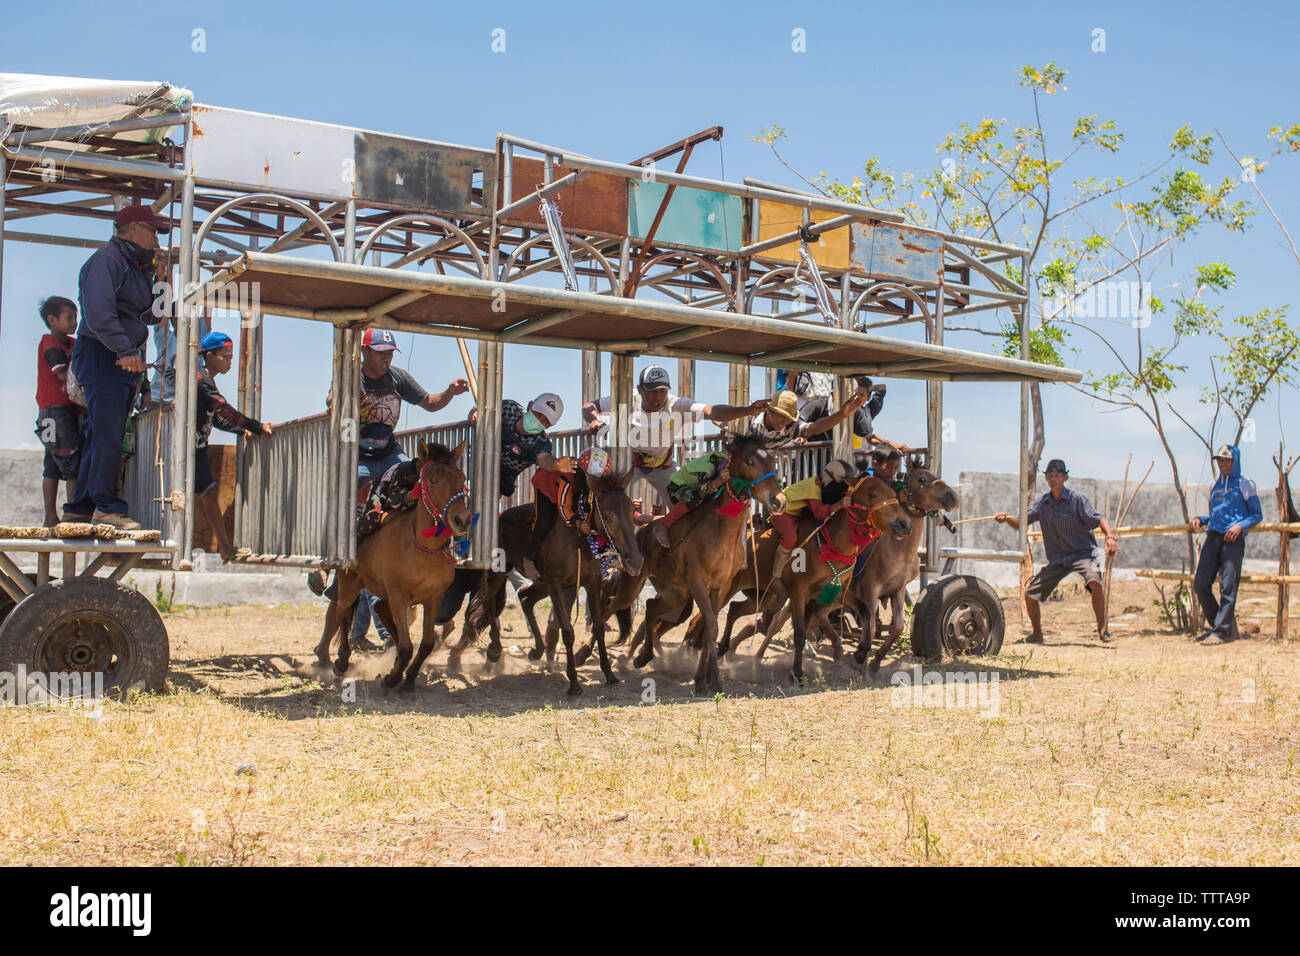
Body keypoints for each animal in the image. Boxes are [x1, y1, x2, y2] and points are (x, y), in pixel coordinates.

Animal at [314, 442, 473, 686]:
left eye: (462, 477)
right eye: (432, 480)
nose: (461, 520)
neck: (422, 548)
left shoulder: (433, 599)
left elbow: (426, 644)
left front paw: (408, 678)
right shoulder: (399, 596)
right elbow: (407, 646)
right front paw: (392, 678)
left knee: (378, 608)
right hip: (350, 584)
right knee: (342, 611)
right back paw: (340, 661)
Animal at [629, 434, 780, 697]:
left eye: (771, 460)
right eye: (749, 461)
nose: (778, 499)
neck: (722, 530)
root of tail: (645, 529)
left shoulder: (721, 585)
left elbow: (710, 625)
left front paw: (703, 678)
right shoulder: (698, 582)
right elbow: (710, 625)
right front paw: (712, 680)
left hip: (675, 594)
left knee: (651, 607)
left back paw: (644, 656)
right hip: (638, 580)